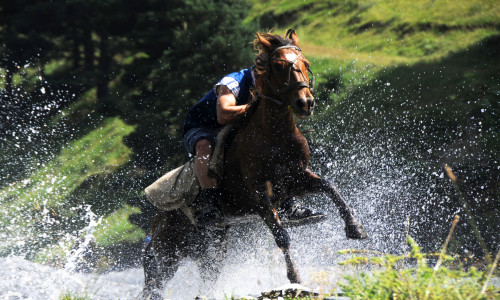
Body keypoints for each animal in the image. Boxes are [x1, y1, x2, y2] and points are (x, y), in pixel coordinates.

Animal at [141, 29, 368, 298]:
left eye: (305, 63)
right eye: (279, 66)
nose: (305, 103)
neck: (274, 135)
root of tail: (156, 218)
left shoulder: (297, 177)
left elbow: (330, 186)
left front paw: (354, 227)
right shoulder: (259, 196)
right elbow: (281, 236)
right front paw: (295, 278)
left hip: (211, 247)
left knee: (207, 276)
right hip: (168, 252)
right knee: (155, 284)